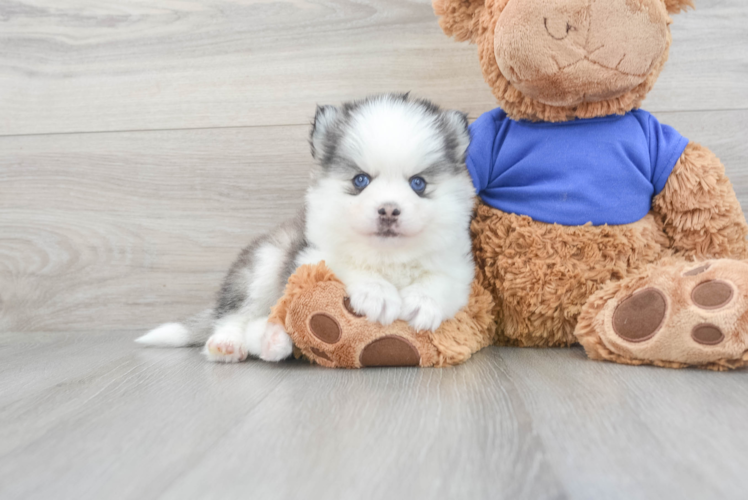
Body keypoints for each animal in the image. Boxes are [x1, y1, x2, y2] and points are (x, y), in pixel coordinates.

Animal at [136, 92, 474, 362]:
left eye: (418, 184)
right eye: (360, 180)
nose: (389, 210)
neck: (387, 258)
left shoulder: (459, 267)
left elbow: (441, 281)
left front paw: (423, 302)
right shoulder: (310, 256)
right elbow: (347, 263)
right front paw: (376, 292)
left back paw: (272, 340)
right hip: (265, 262)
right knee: (235, 315)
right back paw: (228, 344)